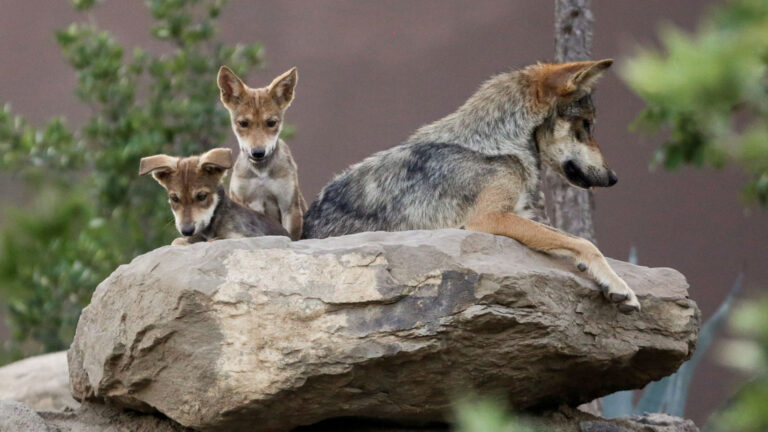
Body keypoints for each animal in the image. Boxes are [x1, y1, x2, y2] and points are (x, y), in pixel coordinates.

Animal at [139, 147, 289, 245]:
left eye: (202, 196)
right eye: (174, 198)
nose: (187, 231)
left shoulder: (248, 235)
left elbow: (214, 240)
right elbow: (177, 241)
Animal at [217, 66, 306, 240]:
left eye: (271, 123)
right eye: (243, 123)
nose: (258, 152)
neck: (261, 174)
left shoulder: (289, 207)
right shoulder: (244, 203)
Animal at [303, 59, 640, 313]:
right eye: (587, 125)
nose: (614, 178)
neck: (495, 142)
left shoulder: (522, 214)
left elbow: (571, 239)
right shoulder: (489, 219)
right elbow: (585, 243)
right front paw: (621, 286)